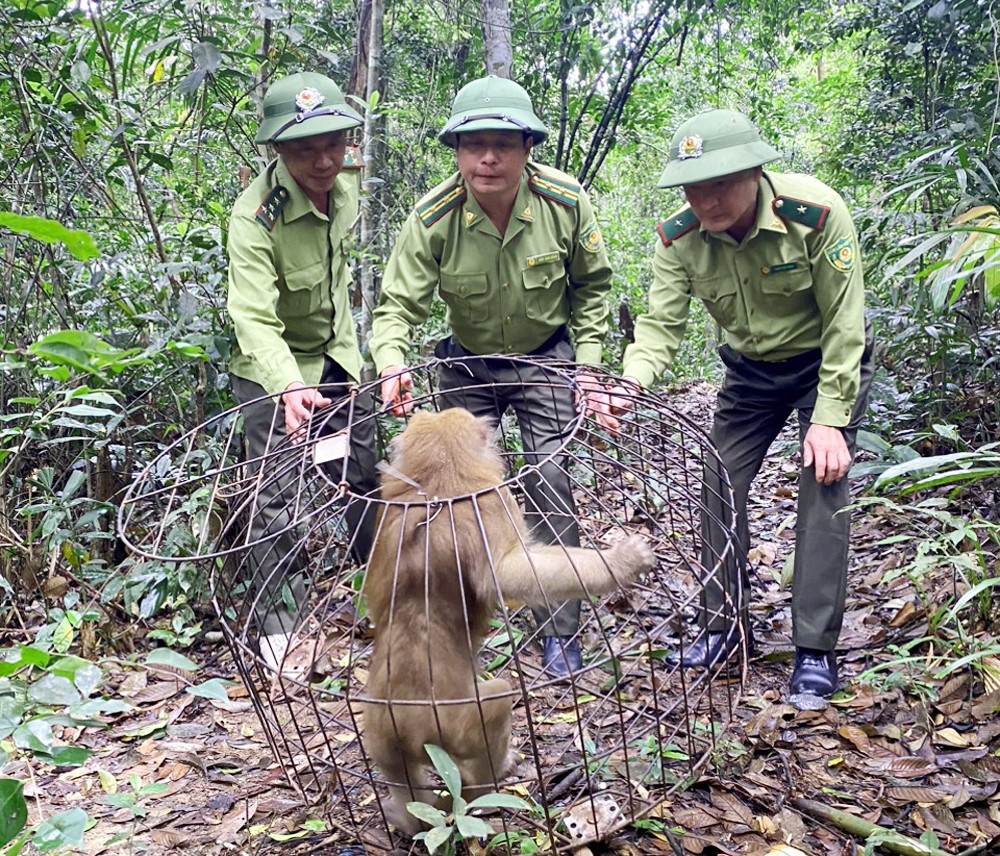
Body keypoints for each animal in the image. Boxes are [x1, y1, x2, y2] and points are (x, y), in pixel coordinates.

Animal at [360, 404, 656, 832]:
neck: (432, 484)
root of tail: (407, 716)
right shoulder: (494, 500)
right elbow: (506, 572)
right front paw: (621, 562)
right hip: (455, 721)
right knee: (497, 699)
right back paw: (488, 781)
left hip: (380, 730)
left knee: (402, 779)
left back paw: (406, 813)